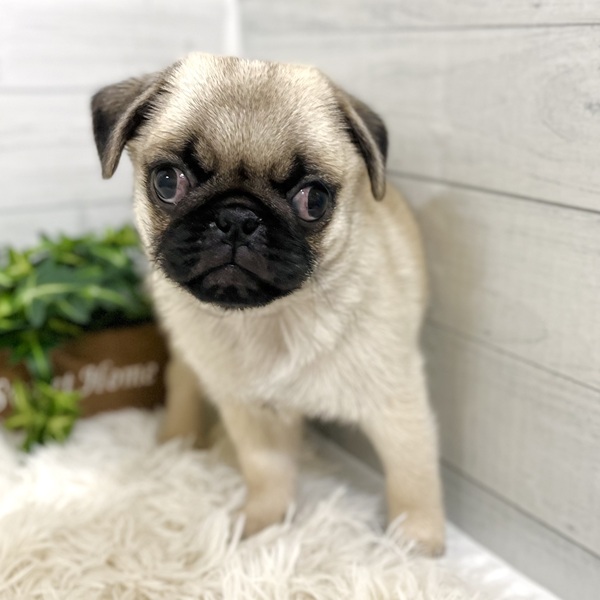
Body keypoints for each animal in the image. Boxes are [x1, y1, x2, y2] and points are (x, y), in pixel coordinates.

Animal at [91, 53, 445, 555]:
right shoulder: (251, 412)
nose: (237, 217)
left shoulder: (397, 403)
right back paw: (177, 441)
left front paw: (415, 541)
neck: (271, 319)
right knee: (182, 379)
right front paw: (263, 523)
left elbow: (412, 474)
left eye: (314, 199)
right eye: (167, 181)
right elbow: (266, 472)